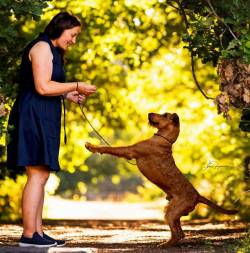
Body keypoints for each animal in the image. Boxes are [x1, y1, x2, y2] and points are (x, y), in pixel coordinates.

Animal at [85, 112, 237, 245]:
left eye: (164, 114)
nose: (149, 113)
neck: (165, 139)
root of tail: (197, 195)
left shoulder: (130, 150)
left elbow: (111, 149)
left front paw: (92, 147)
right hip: (171, 211)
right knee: (180, 233)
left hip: (170, 213)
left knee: (178, 234)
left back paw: (164, 245)